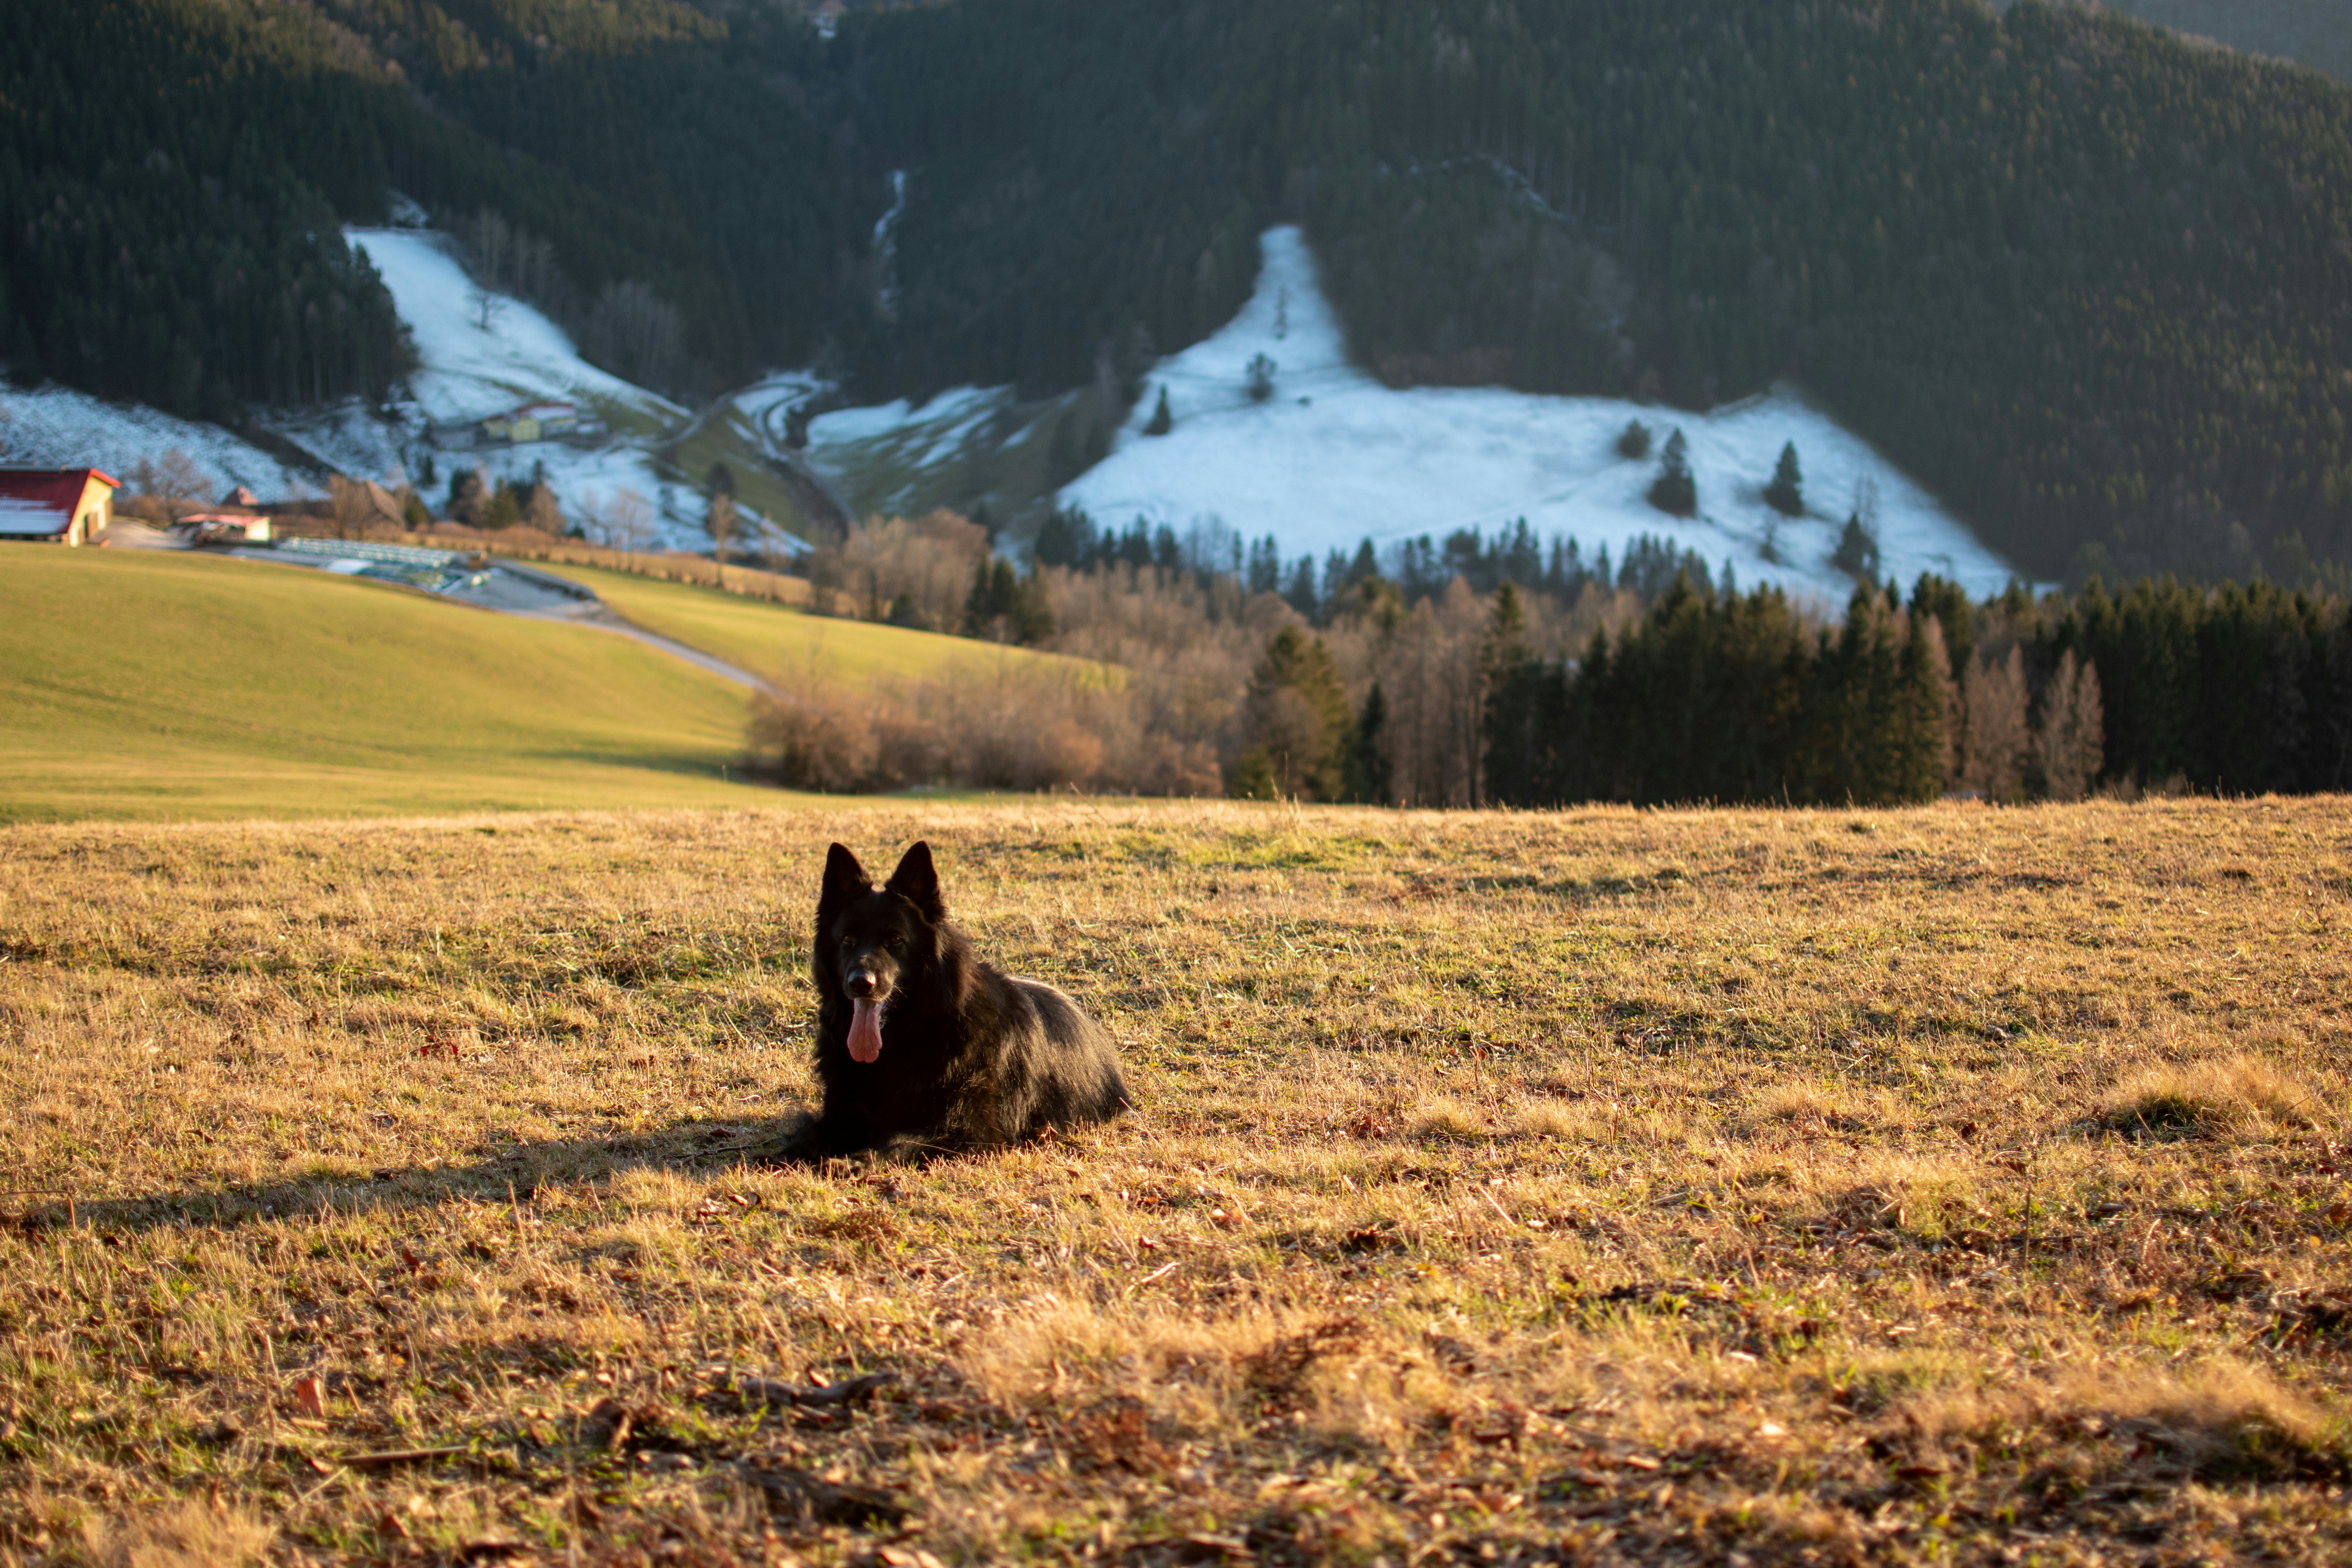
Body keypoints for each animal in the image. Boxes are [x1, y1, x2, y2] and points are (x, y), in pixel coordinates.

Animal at [780, 841, 1129, 1163]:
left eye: (896, 940)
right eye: (847, 939)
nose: (860, 983)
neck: (907, 1039)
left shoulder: (970, 1131)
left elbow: (898, 1139)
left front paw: (857, 1160)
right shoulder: (842, 1113)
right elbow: (809, 1134)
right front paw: (784, 1157)